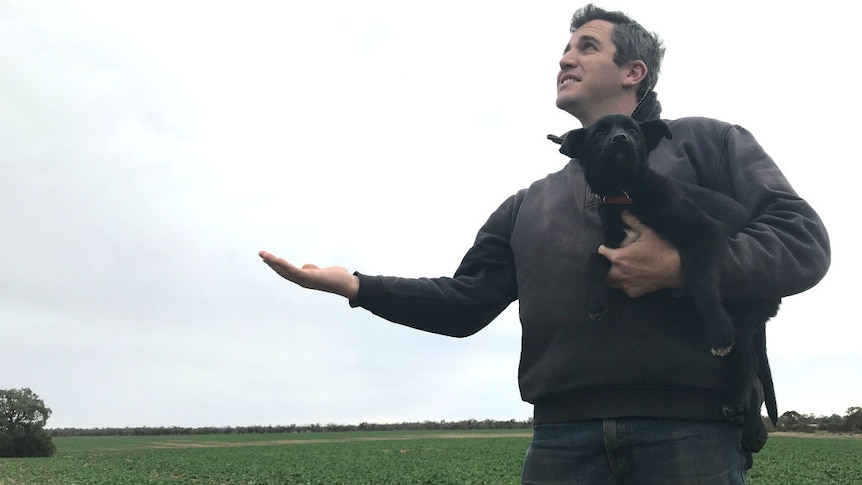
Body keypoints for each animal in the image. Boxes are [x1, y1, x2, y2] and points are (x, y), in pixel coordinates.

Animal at [556, 114, 788, 442]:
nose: (620, 139)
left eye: (633, 130)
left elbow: (701, 281)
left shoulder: (705, 231)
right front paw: (594, 302)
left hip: (744, 313)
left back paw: (736, 401)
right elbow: (593, 260)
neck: (626, 193)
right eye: (599, 132)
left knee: (749, 362)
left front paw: (718, 331)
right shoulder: (615, 248)